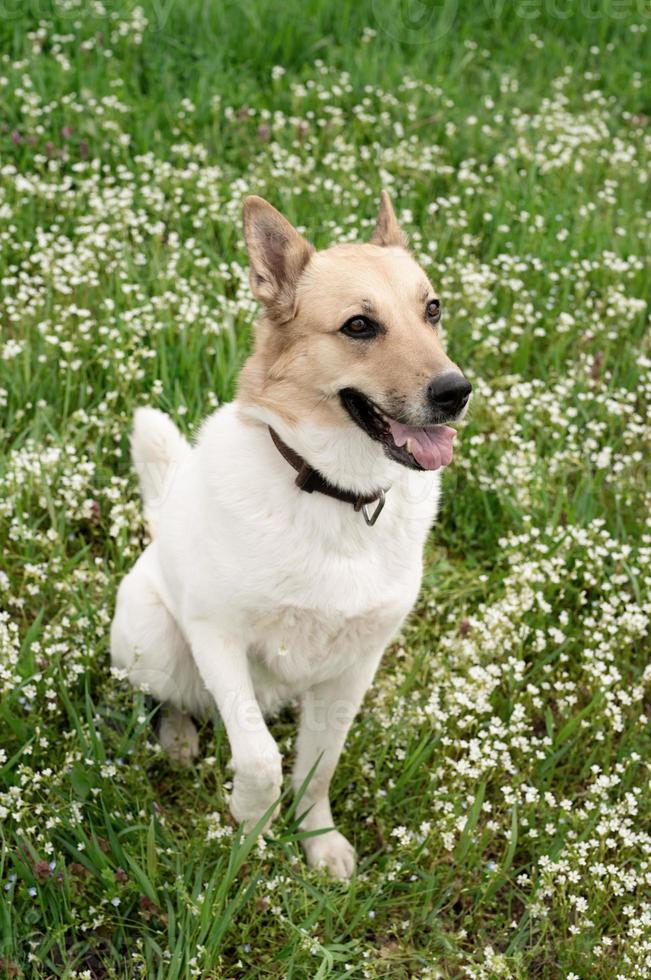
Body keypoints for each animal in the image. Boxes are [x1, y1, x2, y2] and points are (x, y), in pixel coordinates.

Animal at [109, 188, 472, 876]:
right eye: (359, 326)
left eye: (432, 310)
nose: (457, 391)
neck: (337, 494)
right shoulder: (217, 636)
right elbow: (260, 757)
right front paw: (250, 825)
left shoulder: (355, 667)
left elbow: (318, 765)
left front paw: (316, 838)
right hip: (153, 642)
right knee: (173, 700)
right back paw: (179, 738)